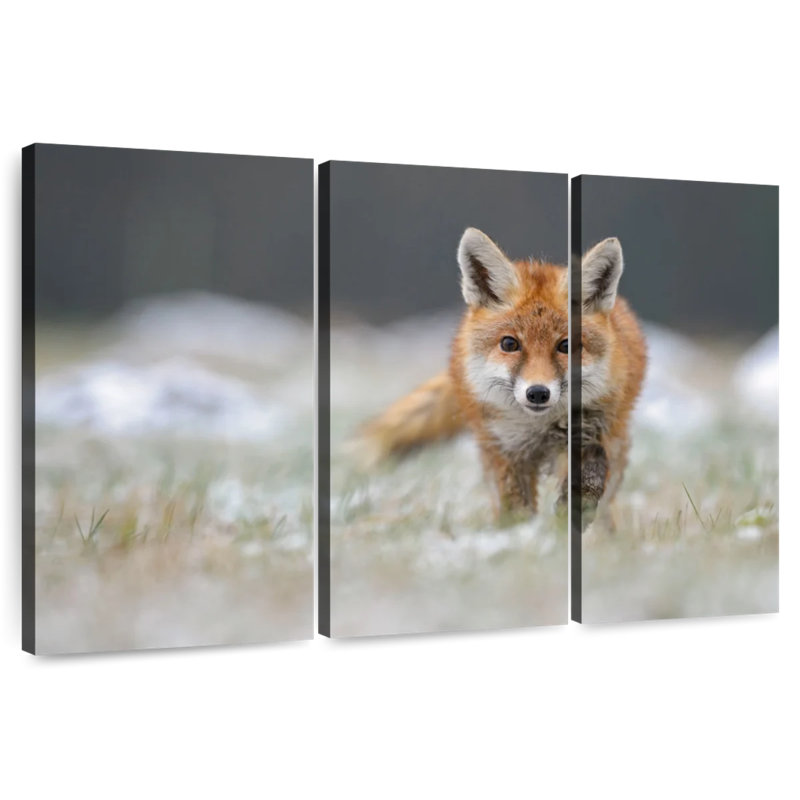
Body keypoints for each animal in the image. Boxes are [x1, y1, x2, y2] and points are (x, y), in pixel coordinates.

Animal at [358, 228, 646, 528]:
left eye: (566, 346)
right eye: (509, 344)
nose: (538, 392)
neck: (540, 428)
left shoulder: (593, 432)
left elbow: (590, 478)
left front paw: (569, 517)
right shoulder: (506, 449)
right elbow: (515, 507)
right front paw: (521, 534)